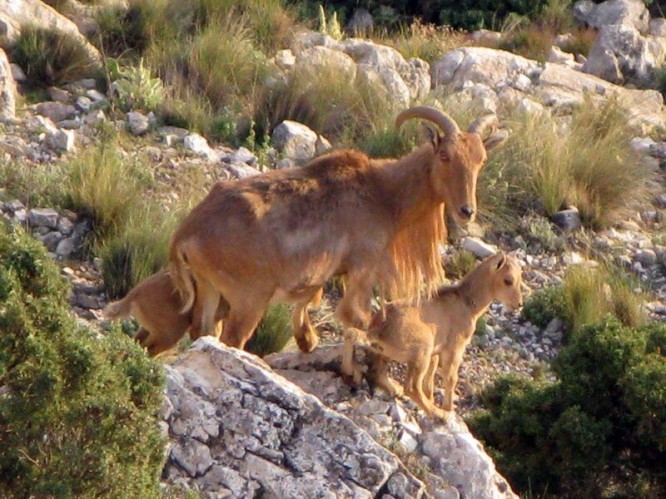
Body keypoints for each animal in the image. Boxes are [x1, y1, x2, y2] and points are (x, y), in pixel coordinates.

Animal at [166, 106, 504, 382]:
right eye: (445, 156)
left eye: (482, 160)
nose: (466, 210)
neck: (385, 195)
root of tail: (186, 233)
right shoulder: (363, 269)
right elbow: (360, 319)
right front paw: (367, 375)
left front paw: (316, 346)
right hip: (249, 299)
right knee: (233, 339)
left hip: (209, 290)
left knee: (203, 331)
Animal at [360, 252, 520, 420]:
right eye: (508, 280)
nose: (519, 304)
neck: (466, 303)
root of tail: (379, 328)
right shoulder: (455, 348)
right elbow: (450, 378)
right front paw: (448, 409)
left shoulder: (435, 352)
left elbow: (429, 381)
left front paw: (433, 400)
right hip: (421, 351)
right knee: (411, 387)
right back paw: (437, 413)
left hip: (387, 353)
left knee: (377, 372)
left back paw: (396, 389)